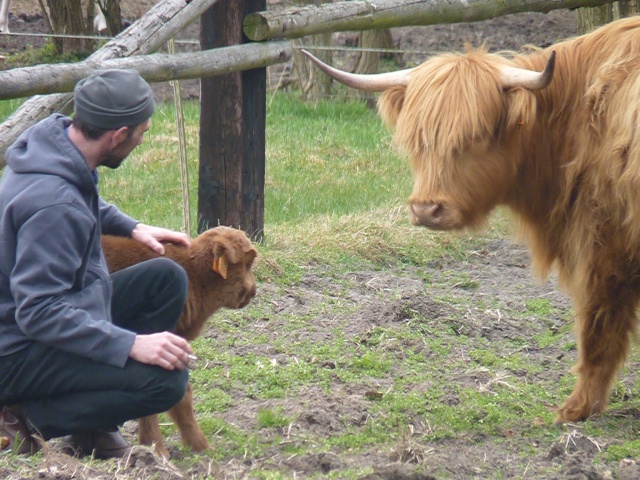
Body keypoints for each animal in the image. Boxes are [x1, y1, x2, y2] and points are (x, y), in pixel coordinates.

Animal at [302, 15, 640, 424]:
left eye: (474, 136)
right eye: (418, 139)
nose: (426, 209)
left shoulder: (603, 242)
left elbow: (597, 326)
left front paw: (575, 409)